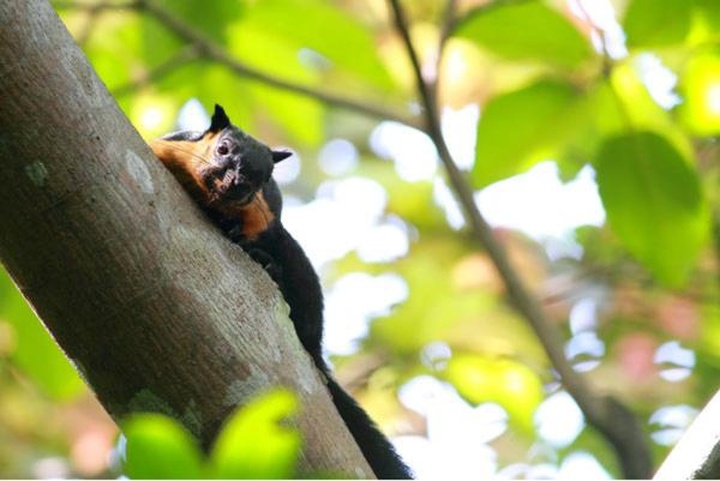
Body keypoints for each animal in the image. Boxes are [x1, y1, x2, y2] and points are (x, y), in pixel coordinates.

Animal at [149, 104, 410, 476]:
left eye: (265, 176)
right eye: (224, 148)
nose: (239, 184)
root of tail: (315, 349)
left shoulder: (264, 213)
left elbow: (252, 226)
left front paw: (236, 231)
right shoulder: (167, 147)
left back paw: (267, 266)